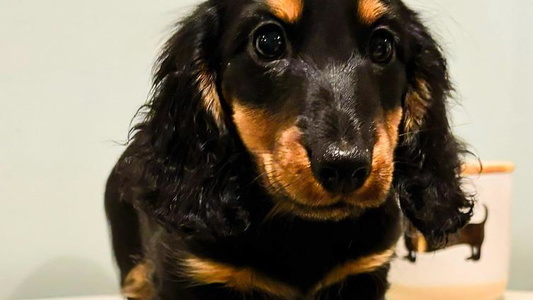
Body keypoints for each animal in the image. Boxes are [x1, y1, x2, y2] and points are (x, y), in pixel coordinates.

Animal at [106, 1, 472, 298]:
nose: (344, 167)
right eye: (268, 42)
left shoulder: (365, 272)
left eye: (383, 45)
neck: (300, 230)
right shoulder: (187, 272)